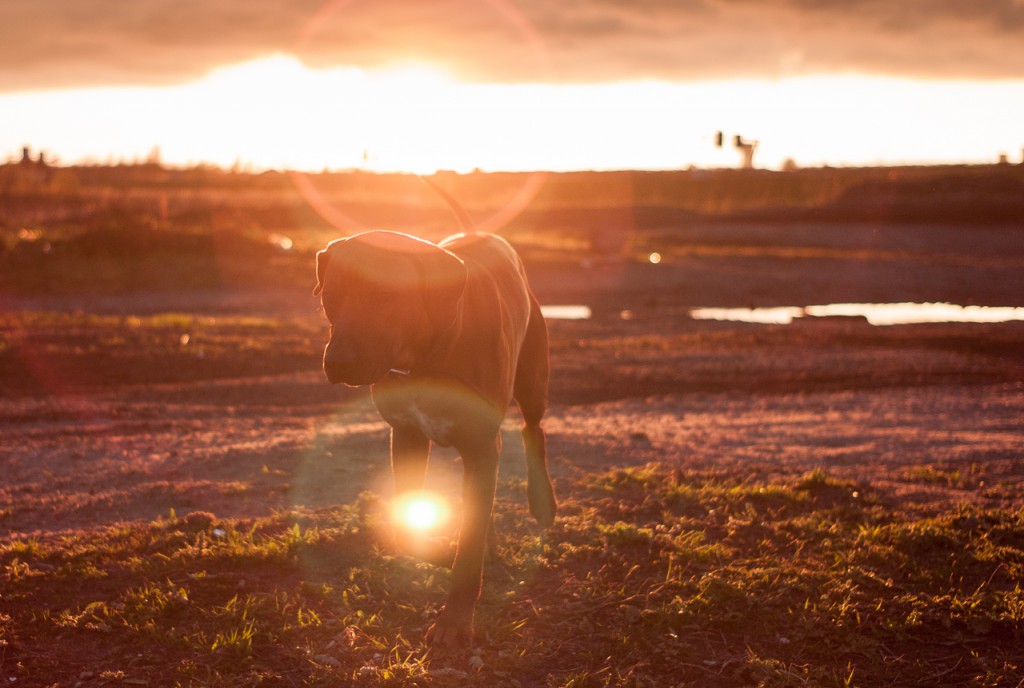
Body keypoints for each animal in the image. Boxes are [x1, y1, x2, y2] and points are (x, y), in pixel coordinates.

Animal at [313, 229, 561, 647]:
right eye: (330, 296)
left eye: (385, 295)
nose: (337, 363)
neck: (425, 357)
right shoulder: (407, 436)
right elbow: (409, 525)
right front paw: (446, 552)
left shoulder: (479, 443)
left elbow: (469, 543)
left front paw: (456, 620)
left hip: (532, 376)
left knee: (533, 431)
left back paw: (541, 500)